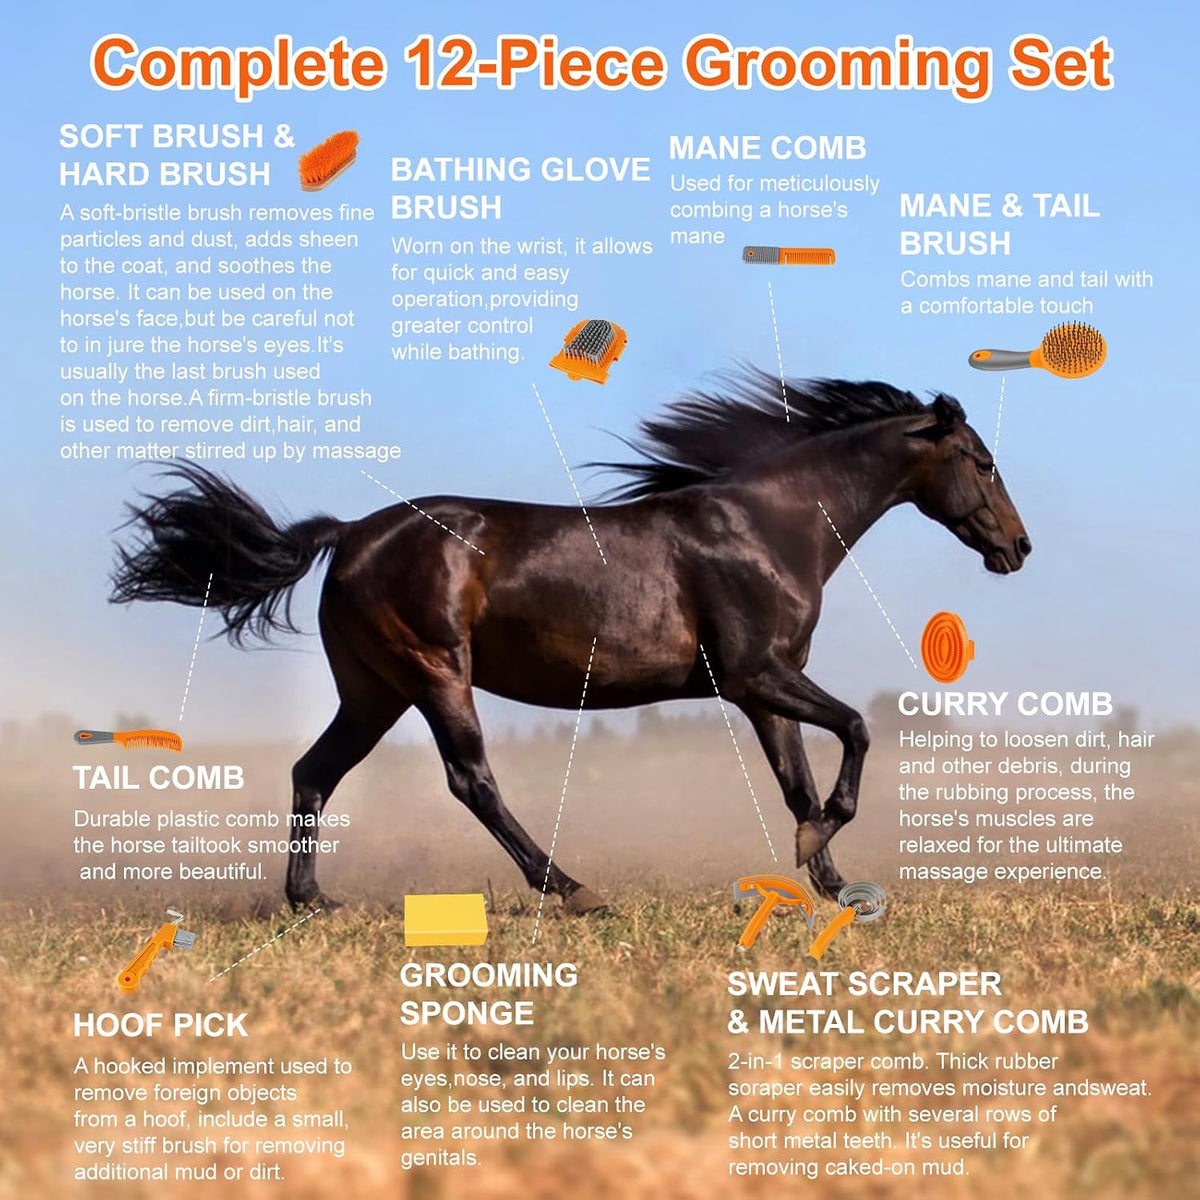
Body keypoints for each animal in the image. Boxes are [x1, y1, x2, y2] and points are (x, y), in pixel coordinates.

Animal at [110, 368, 1030, 913]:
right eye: (982, 461)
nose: (1017, 548)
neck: (770, 526)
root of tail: (352, 535)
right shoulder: (752, 675)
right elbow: (857, 732)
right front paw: (824, 858)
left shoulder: (768, 690)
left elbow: (799, 783)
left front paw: (834, 886)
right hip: (435, 673)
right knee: (470, 780)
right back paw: (574, 889)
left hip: (375, 691)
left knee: (315, 772)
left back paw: (313, 901)